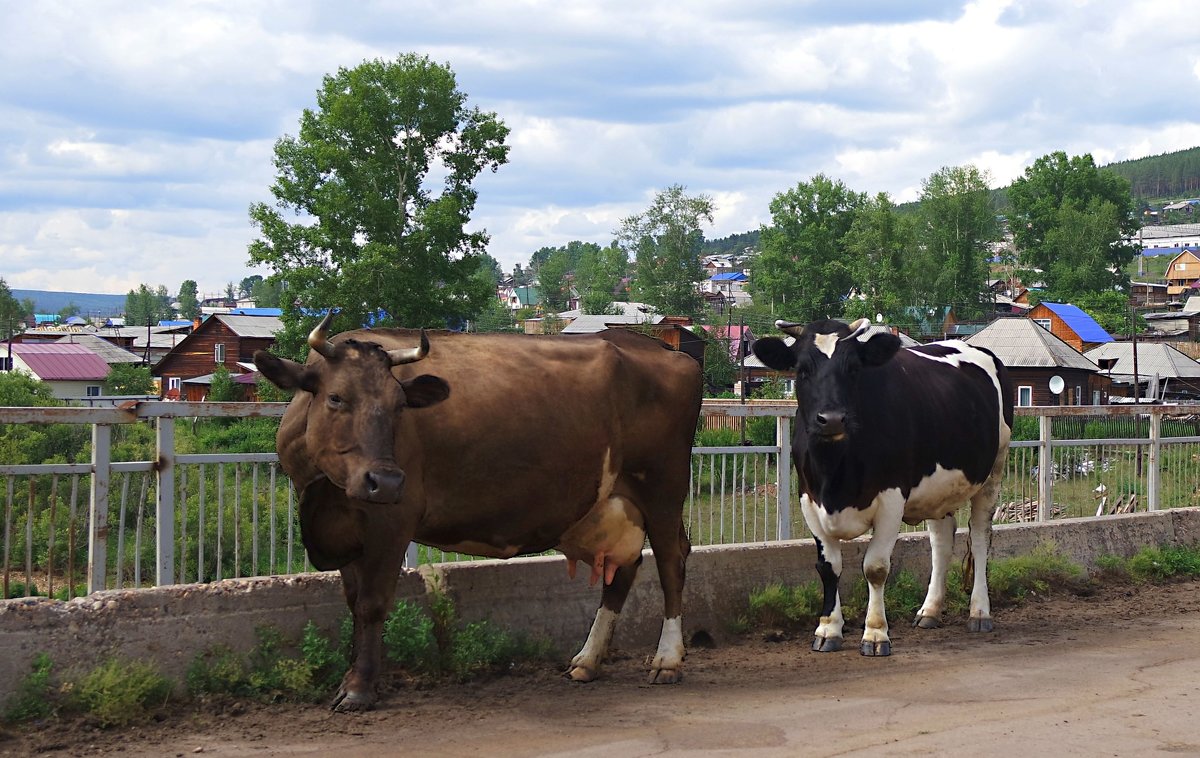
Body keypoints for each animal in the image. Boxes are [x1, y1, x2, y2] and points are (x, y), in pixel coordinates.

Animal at [253, 314, 700, 710]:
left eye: (399, 406)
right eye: (336, 397)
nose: (386, 481)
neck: (324, 491)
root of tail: (657, 346)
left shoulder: (391, 521)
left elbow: (372, 603)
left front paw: (360, 688)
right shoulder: (344, 528)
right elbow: (352, 601)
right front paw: (350, 677)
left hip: (663, 487)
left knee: (670, 561)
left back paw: (667, 659)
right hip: (608, 504)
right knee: (623, 569)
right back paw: (587, 661)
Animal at [753, 316, 1008, 652]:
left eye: (853, 368)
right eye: (802, 370)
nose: (831, 419)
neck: (835, 474)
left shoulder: (891, 499)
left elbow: (875, 568)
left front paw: (875, 633)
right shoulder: (808, 499)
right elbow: (828, 568)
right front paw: (828, 630)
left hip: (993, 471)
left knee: (979, 538)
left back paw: (979, 612)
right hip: (937, 489)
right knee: (941, 540)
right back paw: (930, 610)